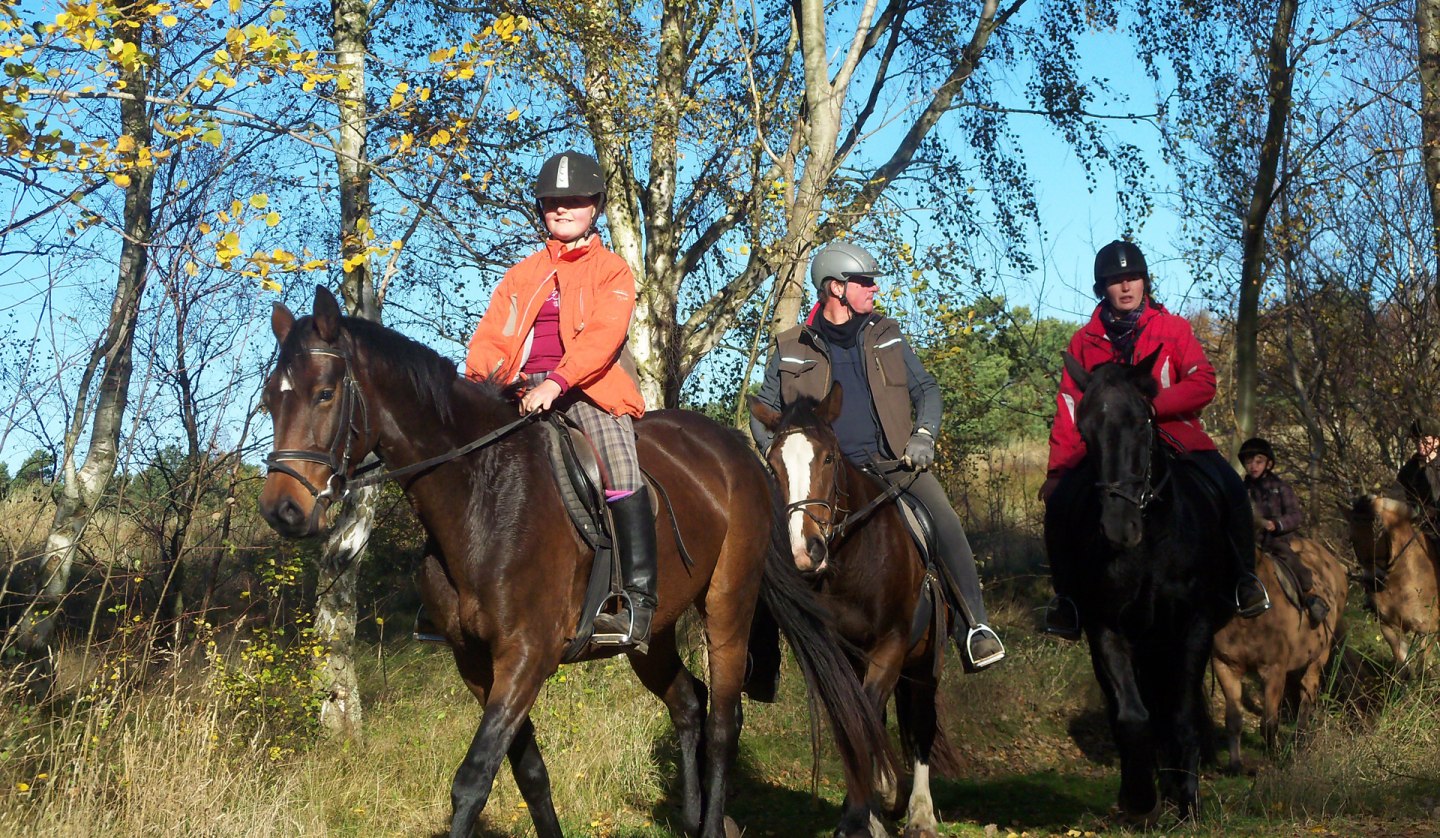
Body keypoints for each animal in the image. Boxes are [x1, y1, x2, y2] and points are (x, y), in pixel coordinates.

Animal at [254, 287, 892, 838]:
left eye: (325, 393)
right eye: (268, 399)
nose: (282, 511)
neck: (482, 491)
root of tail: (737, 452)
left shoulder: (526, 656)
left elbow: (472, 782)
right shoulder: (476, 664)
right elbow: (528, 772)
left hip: (727, 608)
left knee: (722, 723)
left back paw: (711, 824)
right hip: (652, 633)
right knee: (689, 702)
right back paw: (691, 816)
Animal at [748, 388, 961, 838]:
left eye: (829, 458)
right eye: (773, 465)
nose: (804, 551)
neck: (855, 559)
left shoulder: (892, 644)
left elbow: (869, 716)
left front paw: (870, 806)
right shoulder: (836, 653)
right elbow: (851, 716)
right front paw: (865, 810)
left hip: (924, 663)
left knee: (921, 724)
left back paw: (919, 812)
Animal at [1042, 351, 1232, 823]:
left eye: (1144, 424)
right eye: (1085, 430)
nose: (1118, 527)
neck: (1150, 545)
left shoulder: (1194, 625)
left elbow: (1181, 714)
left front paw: (1187, 802)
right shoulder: (1105, 626)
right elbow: (1131, 715)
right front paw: (1140, 799)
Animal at [1215, 538, 1347, 777]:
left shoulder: (1273, 670)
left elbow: (1268, 723)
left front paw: (1278, 758)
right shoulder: (1225, 666)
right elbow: (1233, 720)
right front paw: (1236, 765)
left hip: (1319, 657)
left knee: (1307, 693)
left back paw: (1300, 741)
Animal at [1342, 495, 1434, 673]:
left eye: (1380, 532)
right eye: (1351, 539)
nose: (1373, 581)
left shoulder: (1428, 629)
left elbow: (1423, 662)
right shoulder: (1388, 624)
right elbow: (1402, 659)